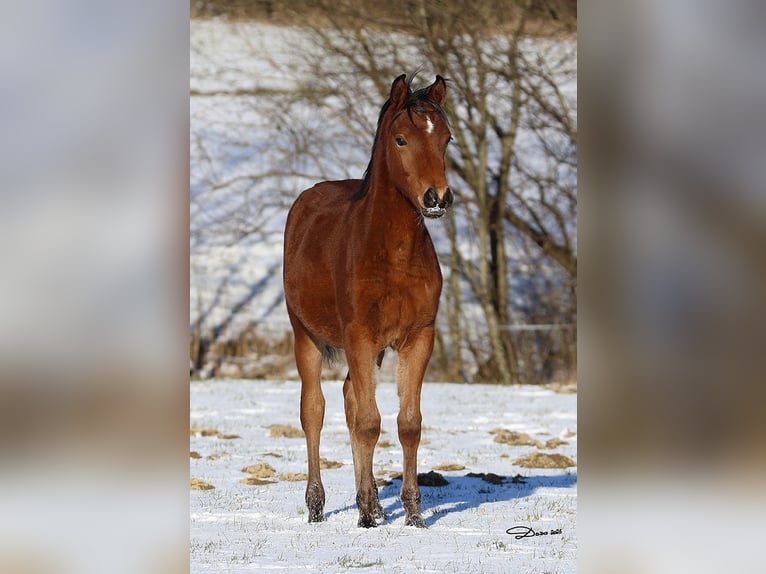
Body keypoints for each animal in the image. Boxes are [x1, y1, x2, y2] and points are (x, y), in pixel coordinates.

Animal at [283, 74, 453, 528]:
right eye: (401, 139)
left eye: (446, 139)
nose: (437, 198)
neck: (392, 254)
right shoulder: (358, 336)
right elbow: (368, 423)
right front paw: (365, 519)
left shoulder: (417, 338)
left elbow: (407, 423)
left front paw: (412, 514)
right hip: (305, 335)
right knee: (315, 411)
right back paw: (318, 506)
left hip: (372, 350)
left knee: (348, 400)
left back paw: (373, 501)